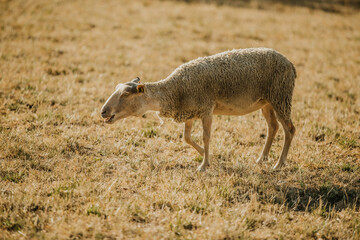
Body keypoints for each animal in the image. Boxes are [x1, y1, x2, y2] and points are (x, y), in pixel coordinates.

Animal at [100, 47, 296, 171]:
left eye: (126, 94)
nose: (103, 112)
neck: (174, 91)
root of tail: (291, 65)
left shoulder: (206, 109)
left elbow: (206, 137)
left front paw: (203, 165)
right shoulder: (189, 113)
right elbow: (186, 138)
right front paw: (207, 158)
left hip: (281, 96)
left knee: (289, 129)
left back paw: (279, 165)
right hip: (267, 102)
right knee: (273, 127)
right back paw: (261, 158)